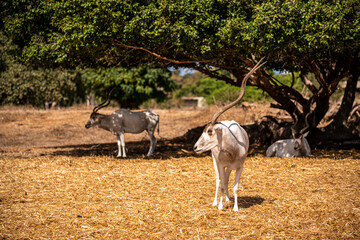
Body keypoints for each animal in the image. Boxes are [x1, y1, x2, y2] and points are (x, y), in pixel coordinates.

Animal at [194, 58, 264, 212]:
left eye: (210, 131)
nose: (195, 147)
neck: (234, 147)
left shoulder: (239, 166)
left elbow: (235, 187)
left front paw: (235, 208)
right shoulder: (221, 164)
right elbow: (221, 183)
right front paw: (220, 206)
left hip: (230, 167)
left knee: (226, 179)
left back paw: (227, 199)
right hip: (215, 161)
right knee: (219, 180)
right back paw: (216, 201)